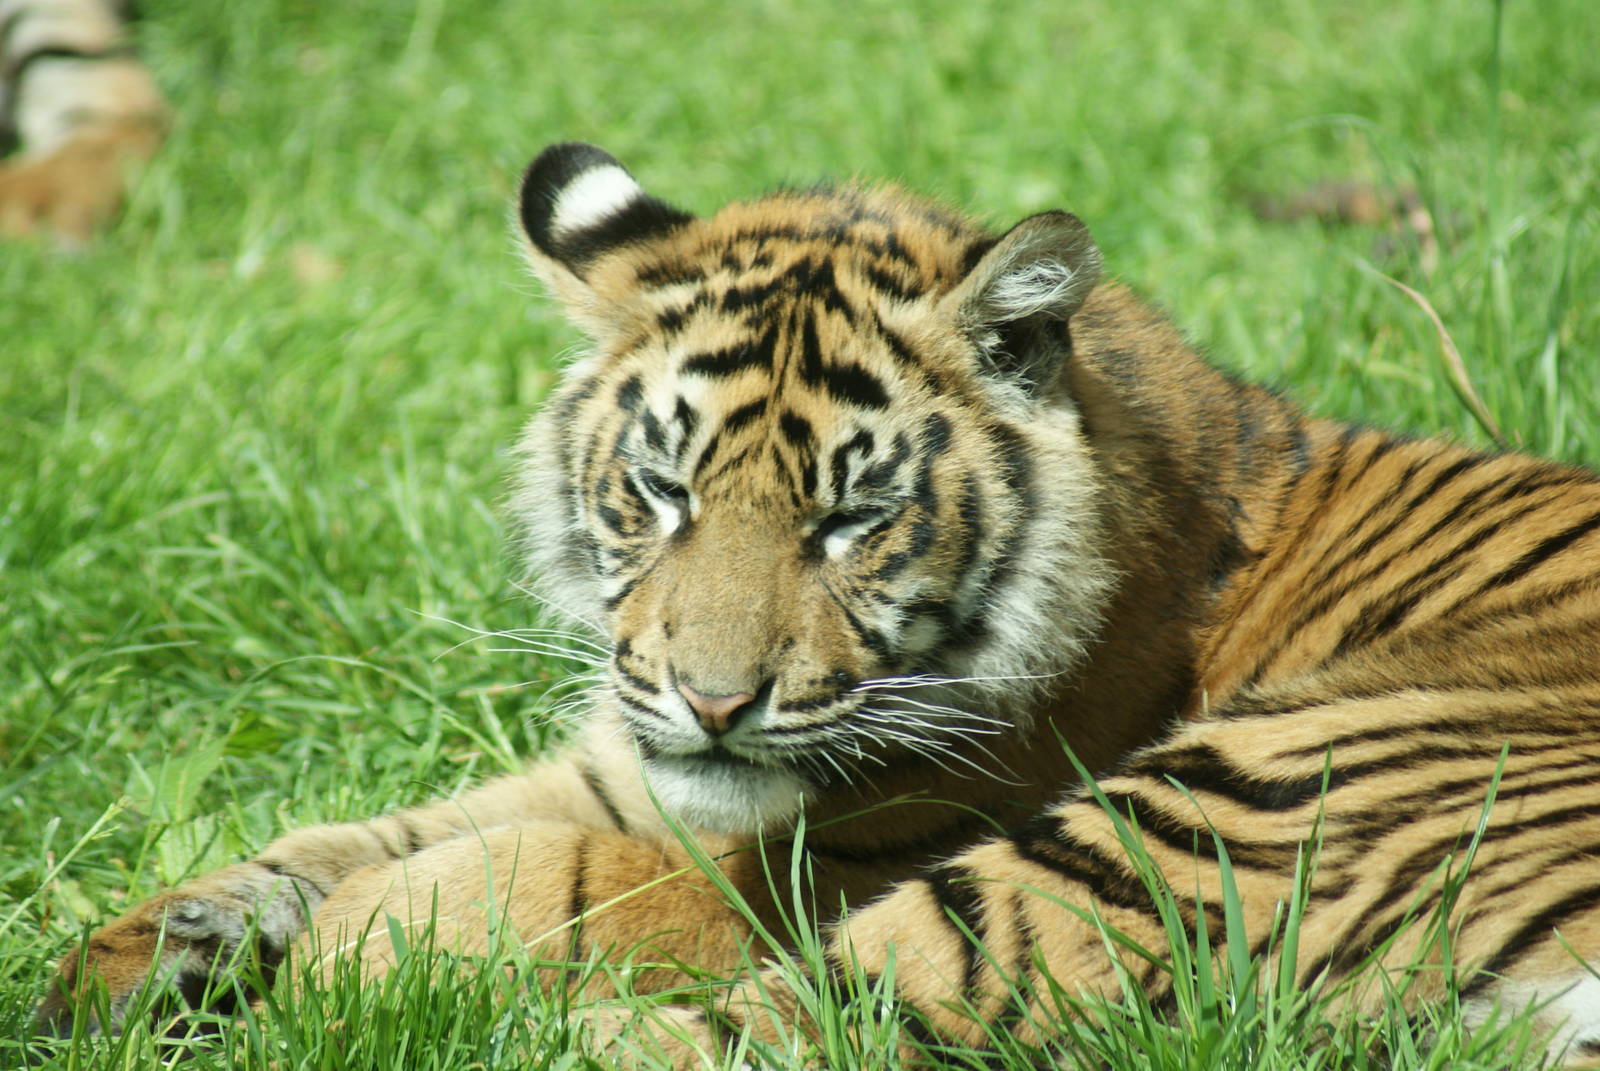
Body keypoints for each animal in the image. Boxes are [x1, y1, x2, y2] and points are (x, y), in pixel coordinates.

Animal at [33, 142, 1600, 1068]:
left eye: (850, 518)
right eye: (662, 489)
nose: (716, 700)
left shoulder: (845, 847)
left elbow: (545, 875)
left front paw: (348, 947)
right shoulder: (617, 755)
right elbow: (345, 835)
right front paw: (133, 955)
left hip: (1225, 807)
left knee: (787, 1025)